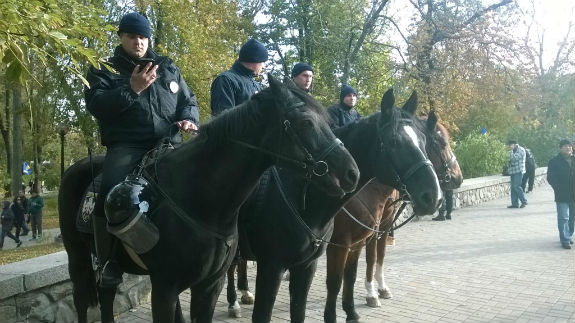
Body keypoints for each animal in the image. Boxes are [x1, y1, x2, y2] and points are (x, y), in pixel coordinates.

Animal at [60, 74, 362, 322]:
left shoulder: (209, 285)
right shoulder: (166, 287)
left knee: (106, 295)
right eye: (306, 122)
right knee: (83, 298)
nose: (352, 172)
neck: (200, 199)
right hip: (77, 257)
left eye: (328, 122)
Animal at [225, 88, 440, 323]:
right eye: (394, 141)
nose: (433, 196)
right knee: (230, 267)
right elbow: (335, 282)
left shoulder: (357, 244)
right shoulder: (339, 246)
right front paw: (335, 314)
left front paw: (351, 311)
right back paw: (234, 302)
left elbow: (350, 276)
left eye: (424, 141)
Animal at [324, 110, 464, 322]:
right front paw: (371, 293)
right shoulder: (348, 240)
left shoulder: (381, 227)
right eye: (441, 143)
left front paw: (381, 288)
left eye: (424, 143)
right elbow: (371, 258)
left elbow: (379, 256)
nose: (458, 177)